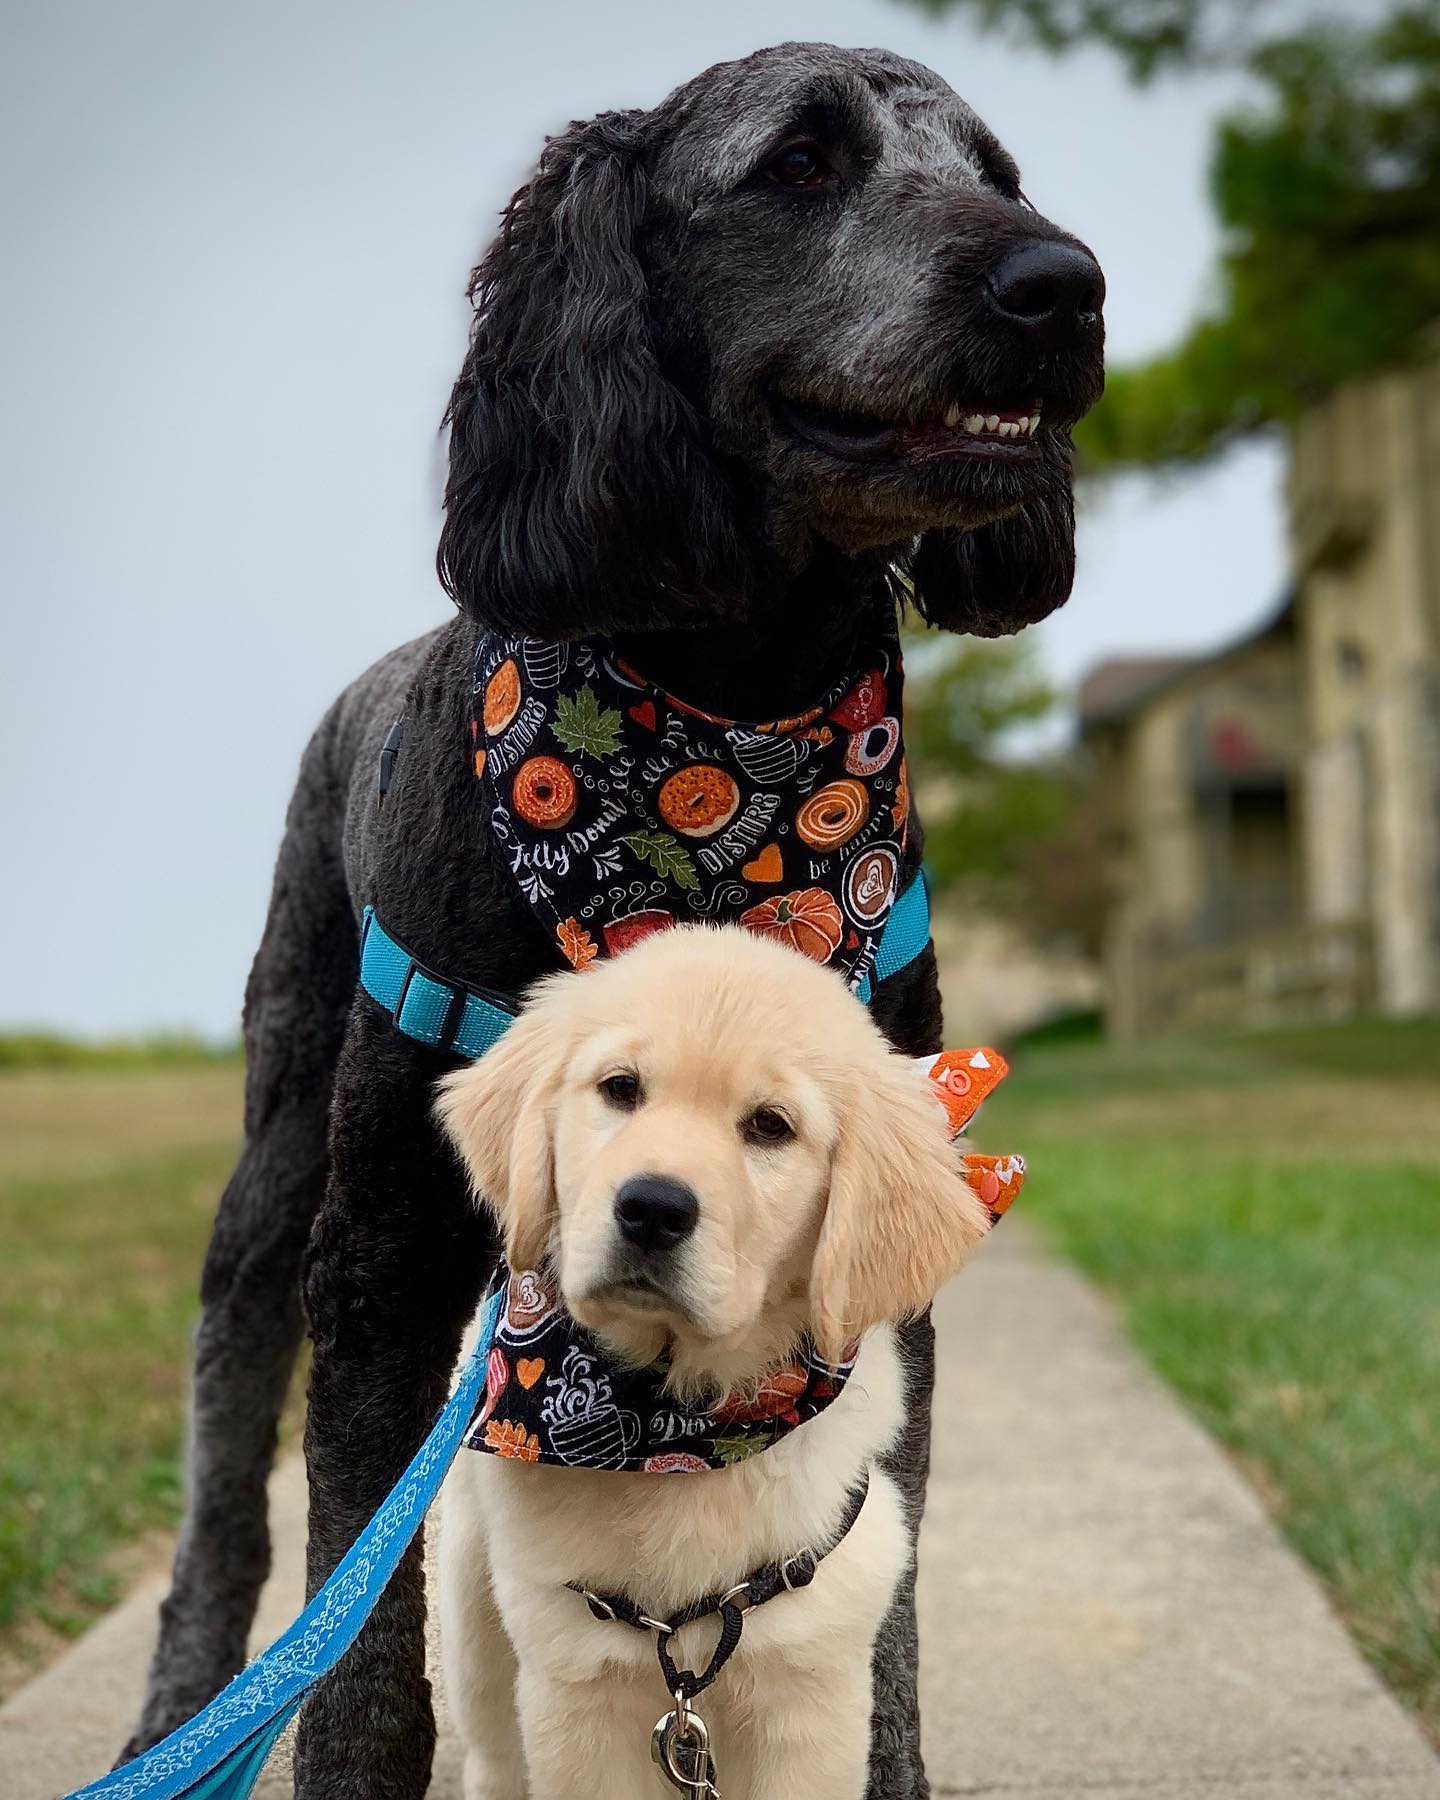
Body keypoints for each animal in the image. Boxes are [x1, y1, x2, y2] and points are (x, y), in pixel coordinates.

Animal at [428, 928, 993, 1800]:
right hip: (476, 1619)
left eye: (770, 1126)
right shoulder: (575, 1684)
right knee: (492, 1751)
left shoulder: (811, 1688)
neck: (677, 1429)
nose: (652, 1208)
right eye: (620, 1089)